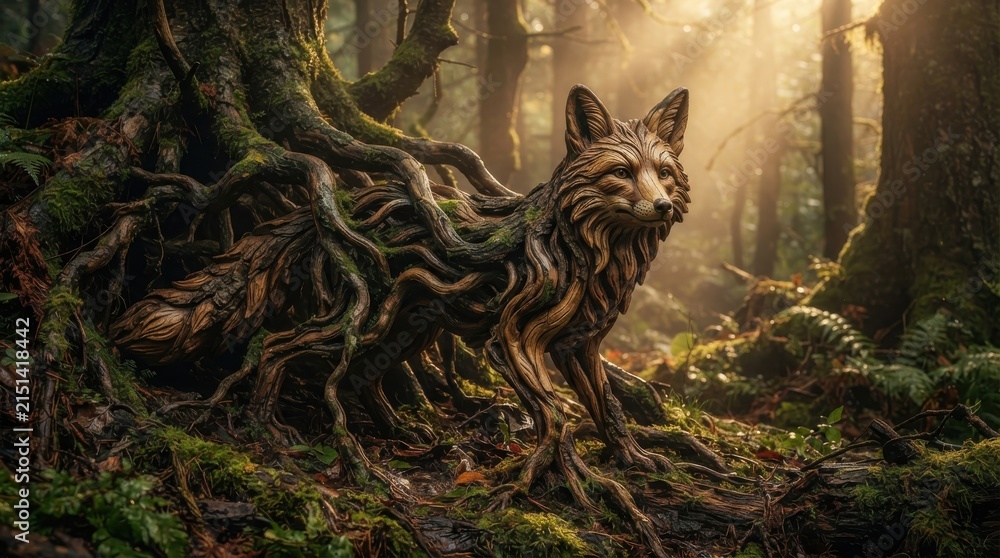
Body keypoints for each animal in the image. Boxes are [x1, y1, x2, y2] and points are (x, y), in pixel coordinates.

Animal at [113, 84, 691, 488]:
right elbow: (555, 415)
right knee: (279, 348)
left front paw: (633, 459)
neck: (586, 247)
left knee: (360, 380)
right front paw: (564, 471)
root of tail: (338, 203)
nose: (663, 206)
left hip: (404, 329)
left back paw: (400, 432)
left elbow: (607, 408)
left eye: (663, 173)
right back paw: (266, 426)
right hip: (360, 322)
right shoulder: (511, 342)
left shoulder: (580, 344)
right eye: (621, 173)